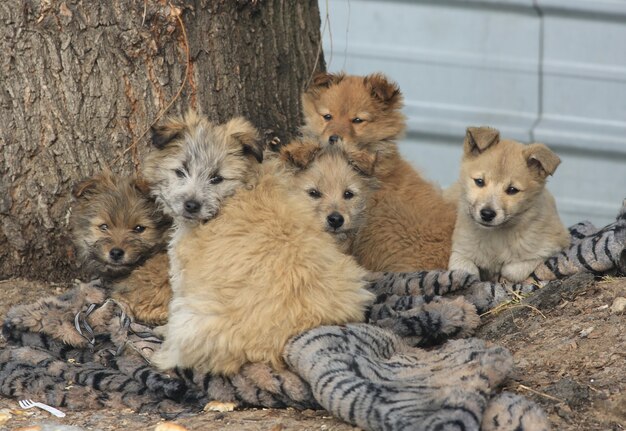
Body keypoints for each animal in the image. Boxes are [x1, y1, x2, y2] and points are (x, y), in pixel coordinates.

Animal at [146, 112, 370, 378]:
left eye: (217, 178)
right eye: (181, 171)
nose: (191, 205)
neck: (243, 186)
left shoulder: (185, 273)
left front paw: (162, 331)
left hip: (193, 318)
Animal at [446, 127, 568, 284]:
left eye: (512, 190)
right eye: (479, 181)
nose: (487, 214)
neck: (496, 236)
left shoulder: (554, 245)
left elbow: (513, 269)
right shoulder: (459, 251)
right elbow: (465, 271)